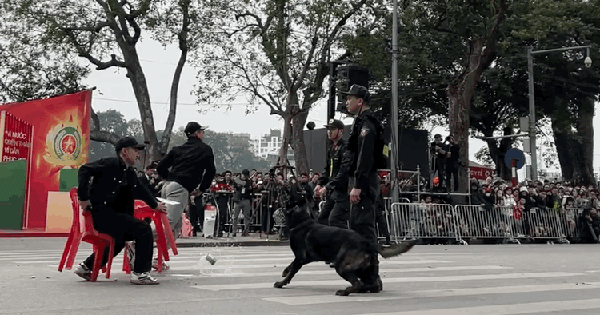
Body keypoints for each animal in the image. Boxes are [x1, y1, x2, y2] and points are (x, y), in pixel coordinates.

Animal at [274, 206, 414, 298]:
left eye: (282, 210)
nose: (279, 207)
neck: (302, 222)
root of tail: (366, 242)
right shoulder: (304, 258)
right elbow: (291, 265)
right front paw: (285, 271)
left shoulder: (300, 257)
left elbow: (292, 271)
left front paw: (282, 283)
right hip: (364, 270)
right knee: (372, 283)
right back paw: (363, 289)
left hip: (342, 266)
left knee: (358, 283)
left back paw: (345, 291)